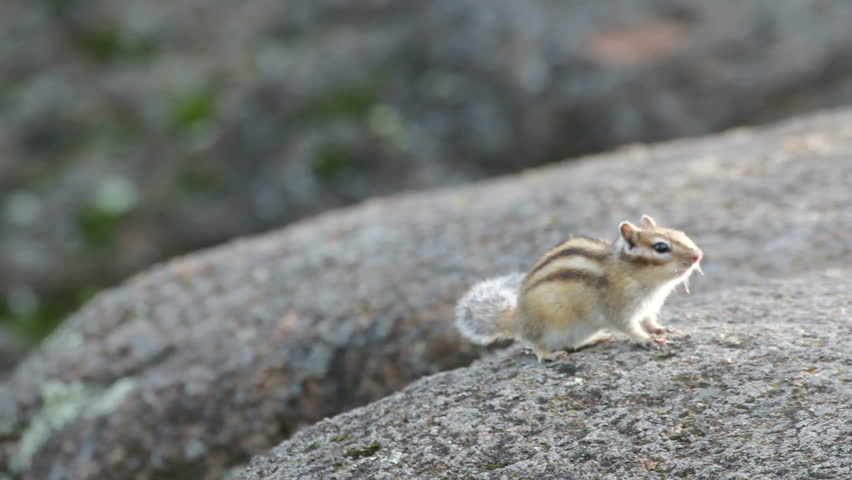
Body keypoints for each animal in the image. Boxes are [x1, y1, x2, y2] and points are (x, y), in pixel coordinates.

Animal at [455, 215, 703, 362]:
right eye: (661, 247)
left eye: (682, 234)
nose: (697, 255)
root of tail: (518, 319)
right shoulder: (617, 306)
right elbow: (627, 326)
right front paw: (645, 339)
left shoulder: (649, 307)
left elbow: (649, 321)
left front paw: (659, 329)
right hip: (547, 323)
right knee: (534, 342)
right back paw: (549, 355)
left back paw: (596, 338)